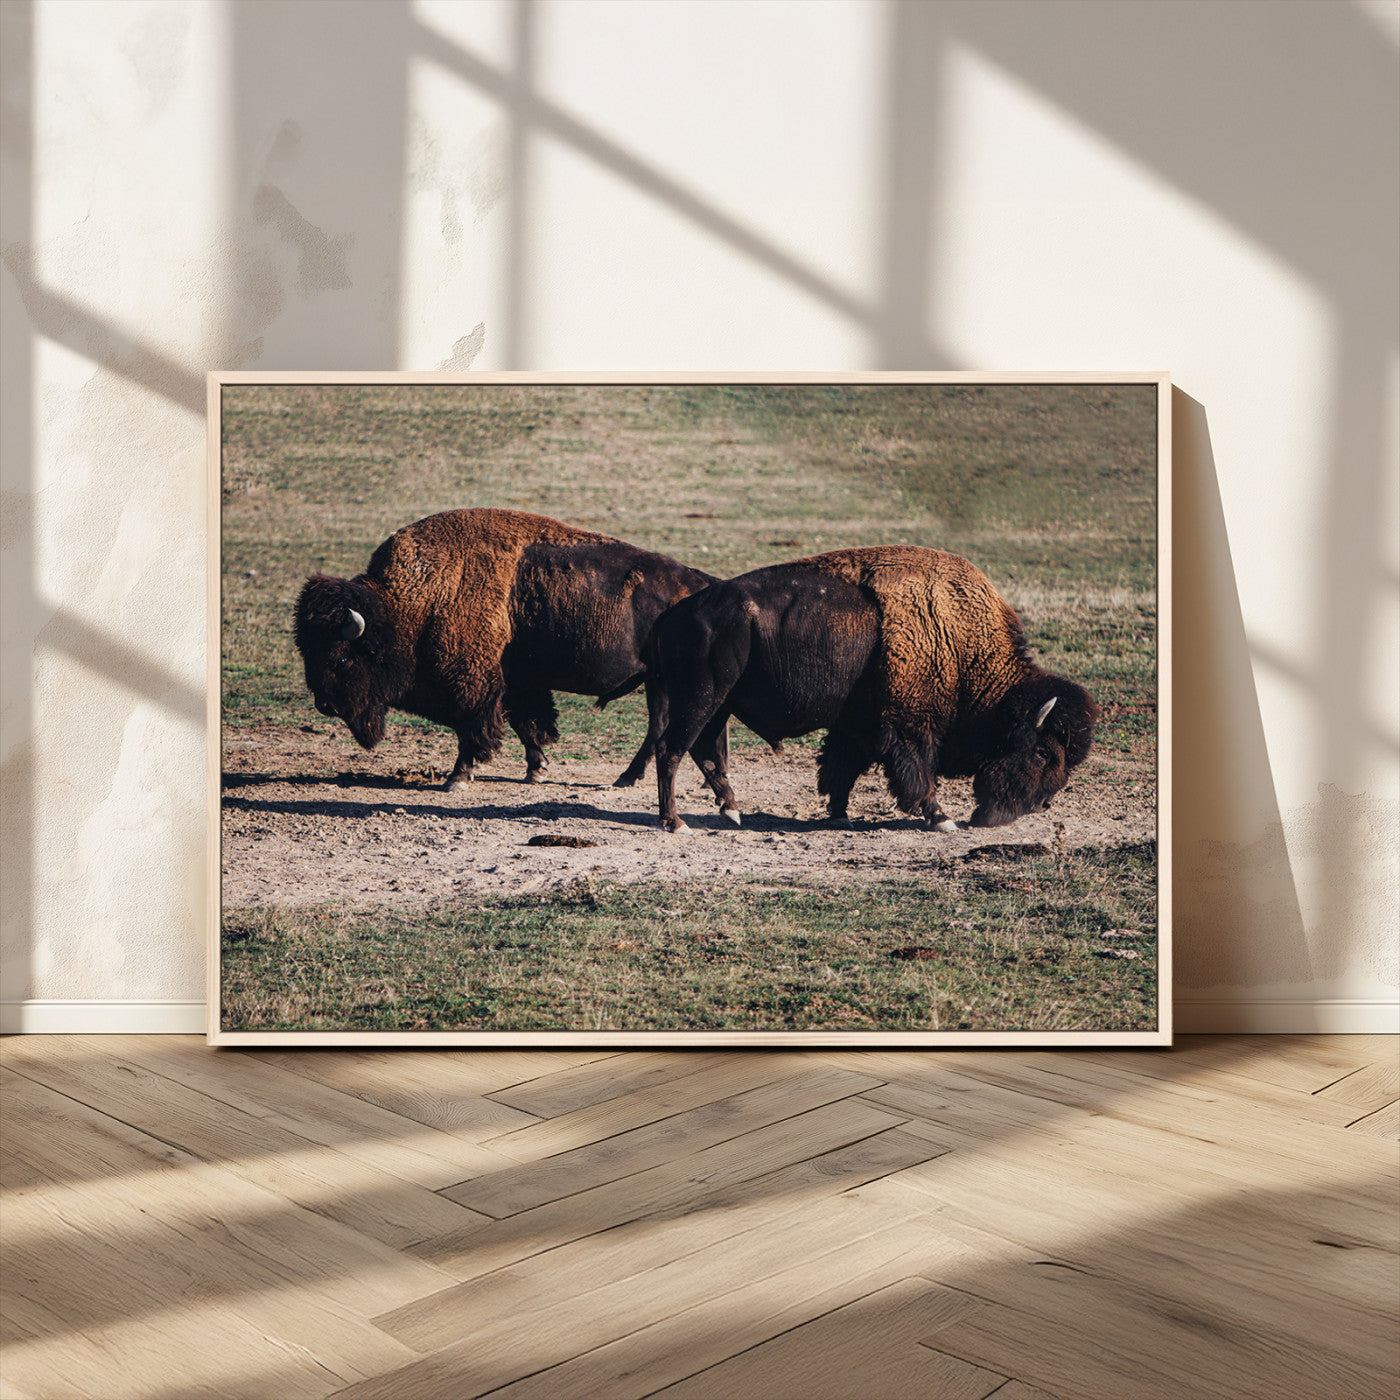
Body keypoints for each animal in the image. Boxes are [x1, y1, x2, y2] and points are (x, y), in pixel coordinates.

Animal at [294, 508, 716, 788]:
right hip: (657, 681)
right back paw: (628, 777)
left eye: (342, 658)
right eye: (306, 651)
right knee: (659, 725)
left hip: (662, 681)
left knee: (658, 726)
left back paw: (627, 778)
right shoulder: (516, 682)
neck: (413, 603)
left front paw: (457, 778)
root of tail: (703, 585)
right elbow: (526, 723)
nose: (325, 704)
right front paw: (536, 770)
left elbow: (473, 729)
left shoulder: (473, 686)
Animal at [648, 546, 1100, 833]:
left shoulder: (858, 726)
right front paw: (942, 819)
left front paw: (839, 815)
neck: (958, 643)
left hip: (719, 705)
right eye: (1042, 753)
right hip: (701, 700)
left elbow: (841, 768)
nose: (1041, 805)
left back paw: (731, 811)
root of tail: (675, 613)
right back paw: (676, 823)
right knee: (671, 750)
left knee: (704, 751)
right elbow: (917, 773)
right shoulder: (907, 727)